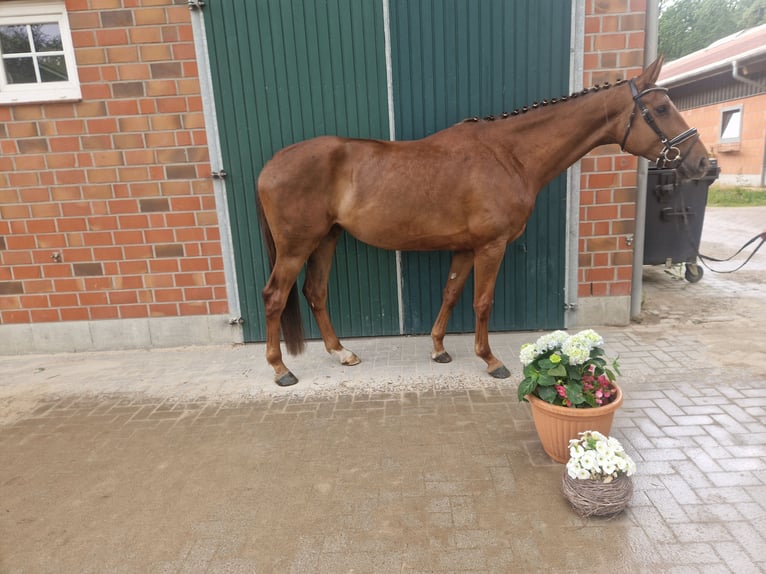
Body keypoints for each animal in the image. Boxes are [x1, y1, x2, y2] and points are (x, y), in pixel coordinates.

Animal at [256, 56, 710, 386]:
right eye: (662, 107)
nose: (704, 164)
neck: (509, 156)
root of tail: (270, 165)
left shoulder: (465, 247)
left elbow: (452, 293)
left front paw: (439, 349)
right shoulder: (491, 246)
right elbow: (482, 302)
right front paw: (491, 360)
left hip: (326, 238)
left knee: (315, 292)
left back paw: (341, 352)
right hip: (297, 246)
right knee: (275, 296)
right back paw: (280, 370)